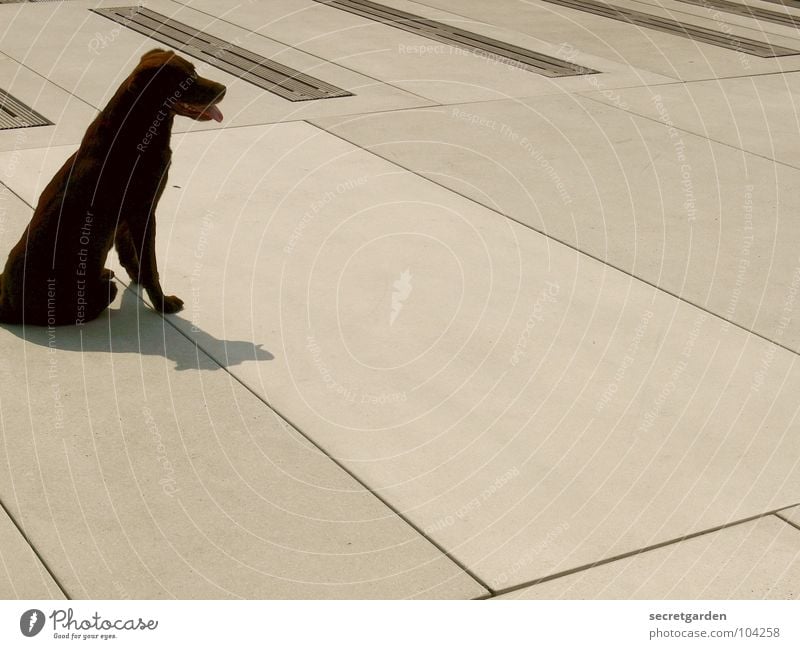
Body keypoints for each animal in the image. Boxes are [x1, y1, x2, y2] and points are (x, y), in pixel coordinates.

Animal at [0, 48, 225, 326]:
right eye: (185, 80)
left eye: (194, 71)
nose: (224, 89)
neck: (138, 129)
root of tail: (5, 306)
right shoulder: (144, 210)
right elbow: (150, 265)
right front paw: (163, 304)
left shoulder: (128, 217)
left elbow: (129, 252)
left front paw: (139, 280)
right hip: (96, 293)